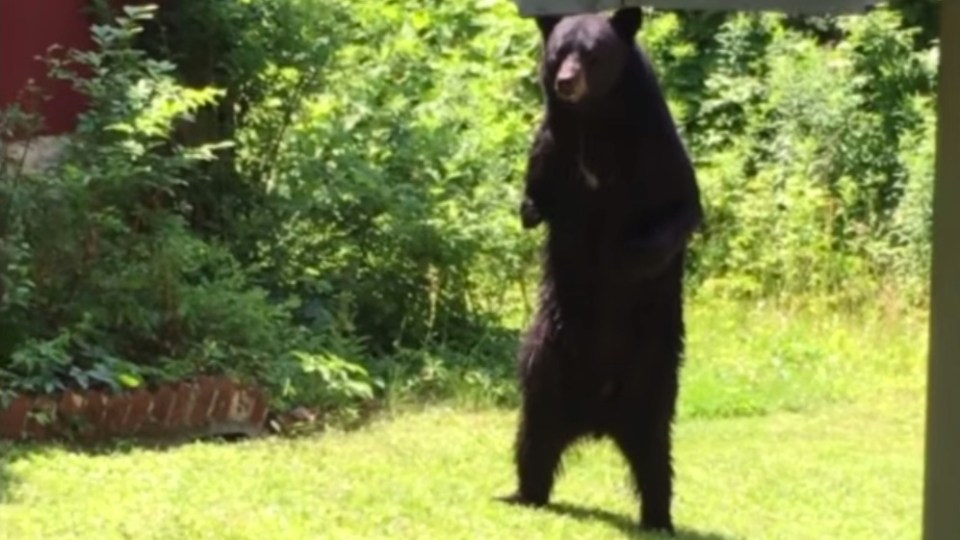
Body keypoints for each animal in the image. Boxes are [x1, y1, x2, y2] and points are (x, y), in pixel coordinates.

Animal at [501, 7, 703, 535]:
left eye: (591, 54)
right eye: (559, 53)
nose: (567, 82)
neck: (597, 123)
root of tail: (596, 419)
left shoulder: (655, 149)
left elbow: (682, 208)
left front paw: (633, 255)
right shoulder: (556, 145)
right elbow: (539, 191)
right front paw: (531, 208)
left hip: (654, 376)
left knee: (656, 457)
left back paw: (658, 516)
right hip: (544, 363)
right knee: (532, 438)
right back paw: (523, 494)